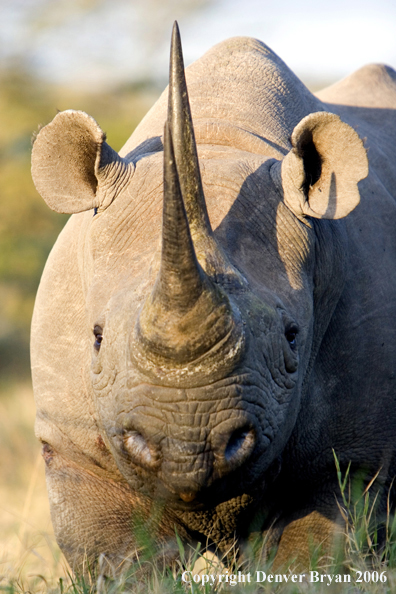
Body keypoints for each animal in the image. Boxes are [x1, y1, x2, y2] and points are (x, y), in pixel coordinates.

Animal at [30, 23, 396, 568]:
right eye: (95, 337)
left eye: (293, 337)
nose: (191, 449)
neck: (221, 139)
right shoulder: (75, 446)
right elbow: (122, 561)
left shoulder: (354, 452)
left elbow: (310, 556)